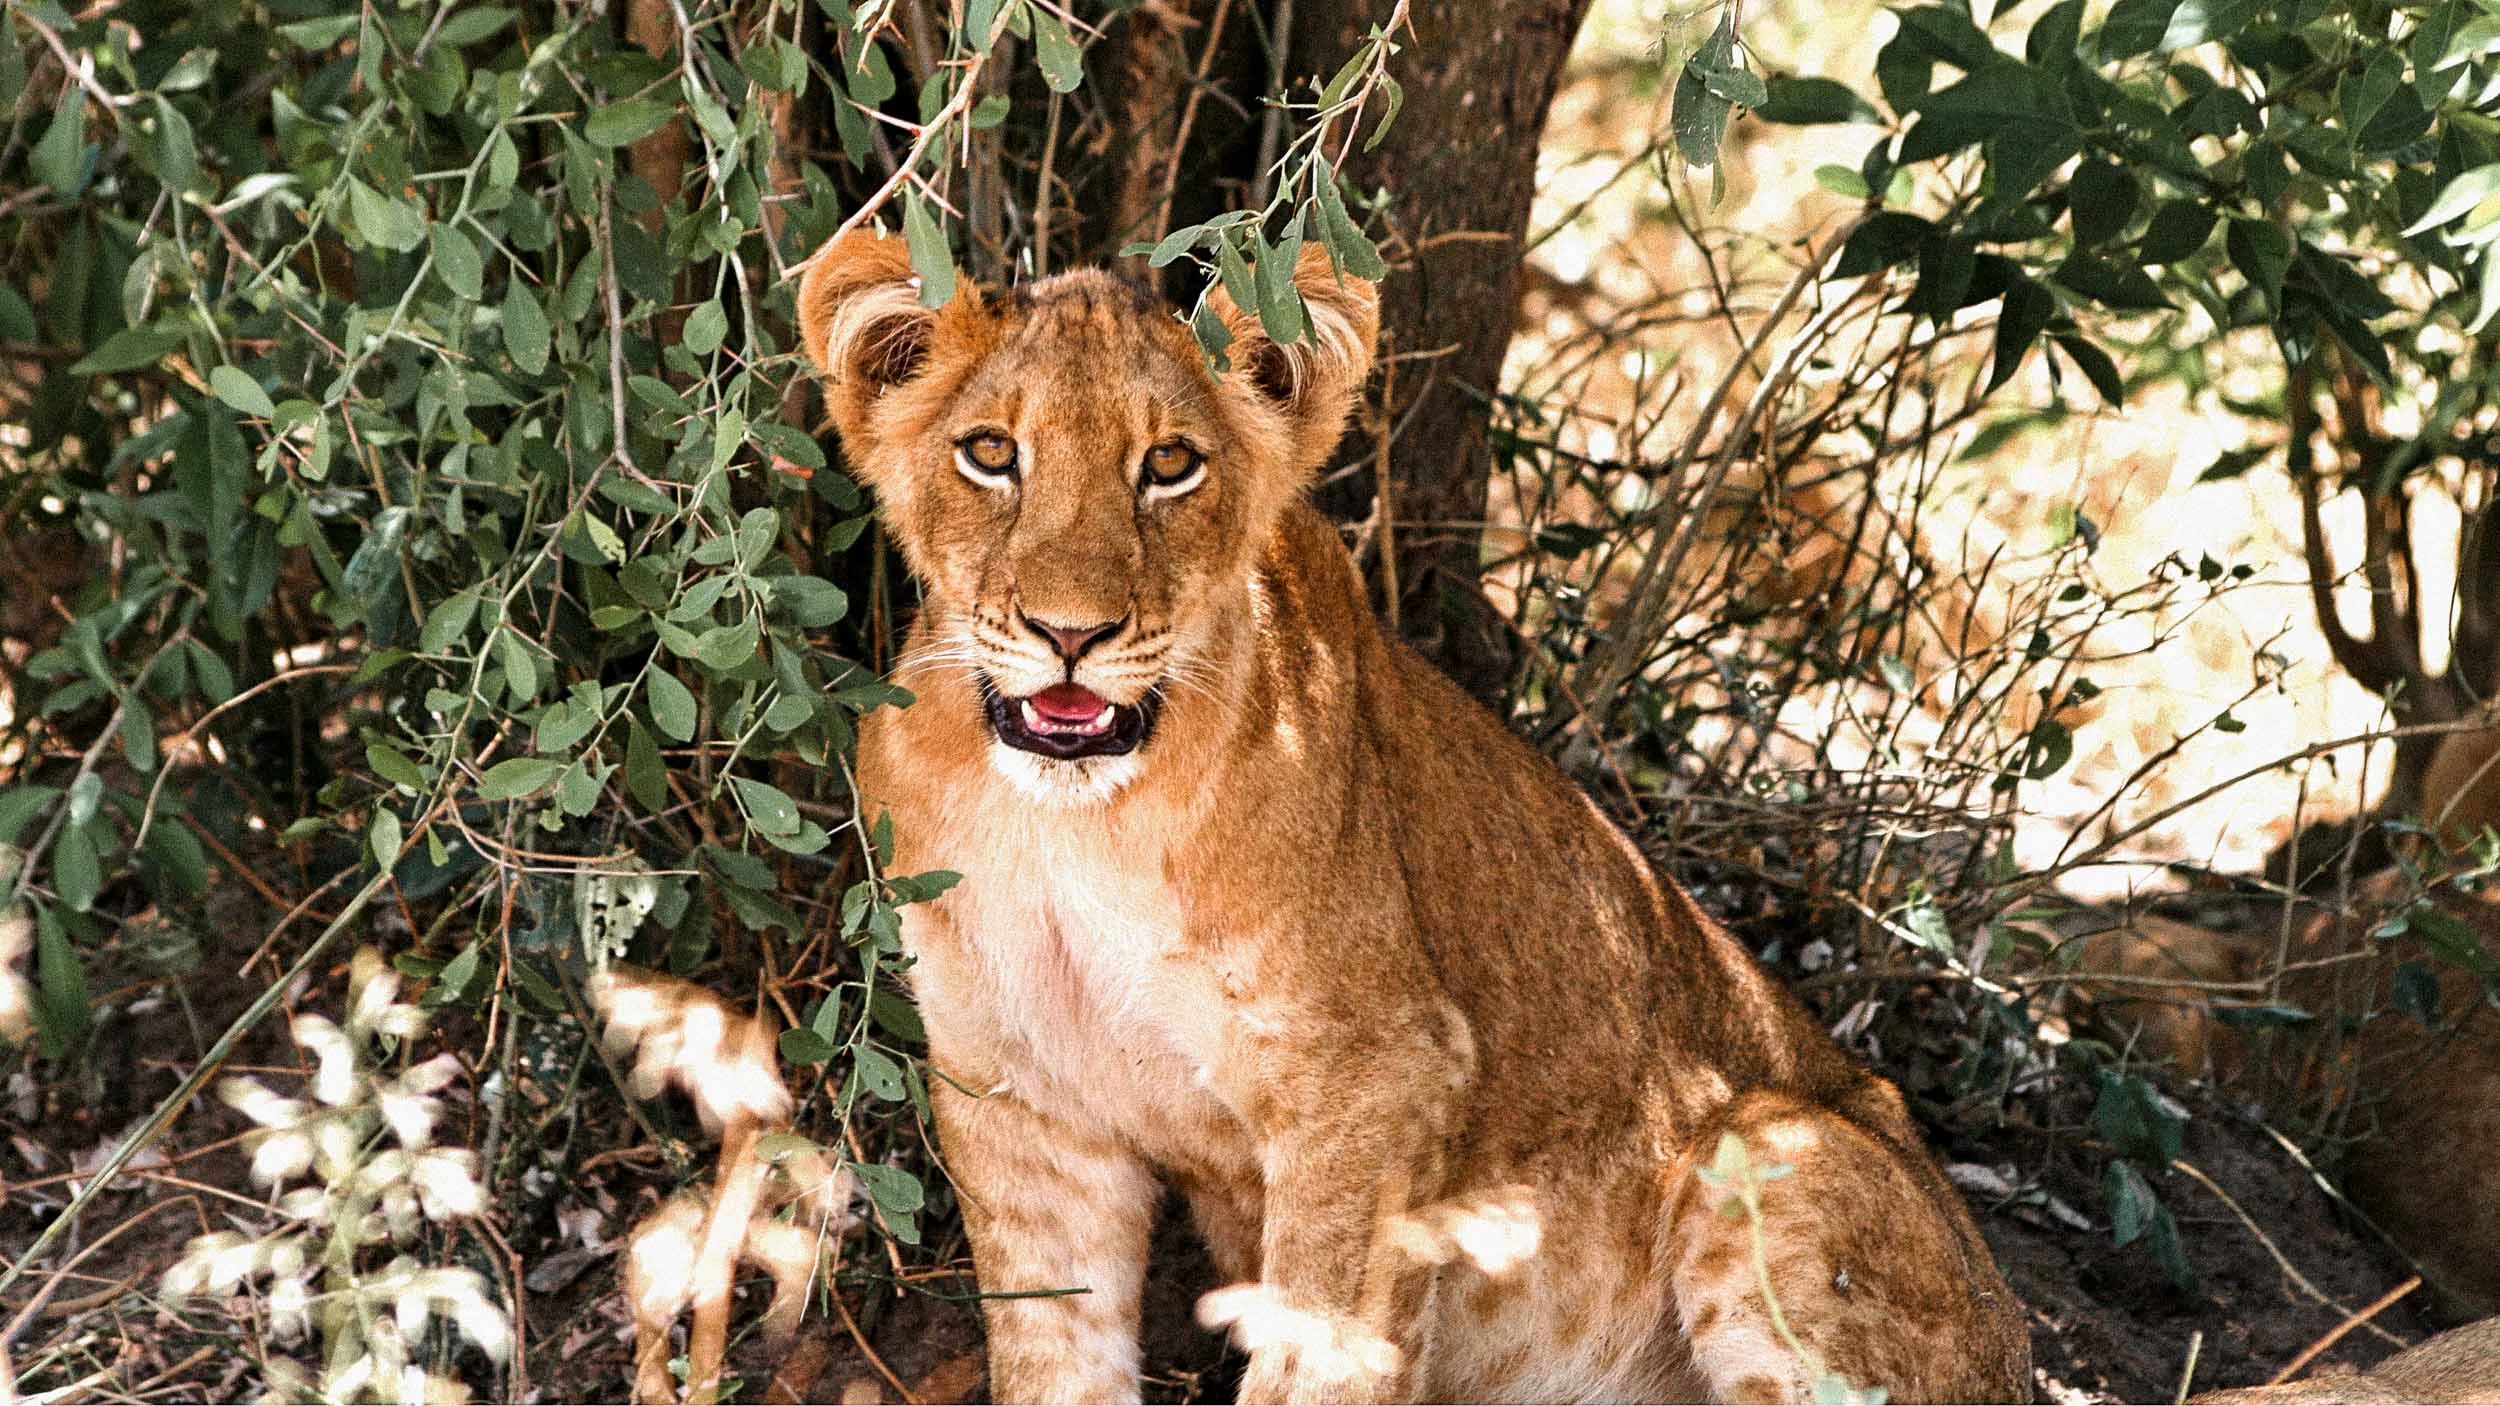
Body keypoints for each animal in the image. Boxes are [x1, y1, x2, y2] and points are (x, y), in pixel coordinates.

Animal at [793, 229, 2031, 1403]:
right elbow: (1055, 1355)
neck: (1067, 825)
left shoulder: (1379, 1073)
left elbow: (1320, 1355)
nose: (1069, 633)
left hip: (1775, 1149)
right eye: (990, 453)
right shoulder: (1022, 1101)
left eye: (1169, 464)